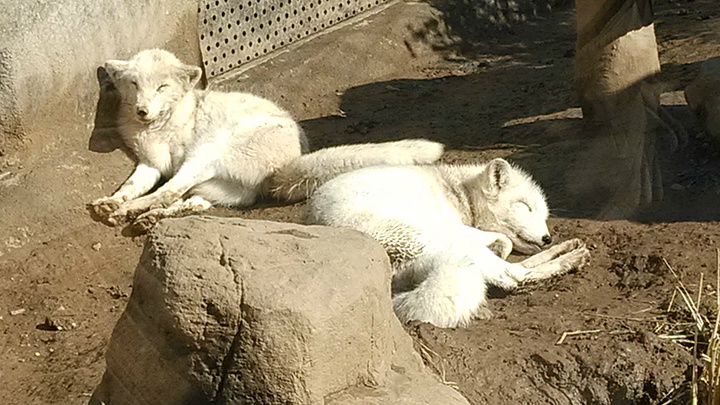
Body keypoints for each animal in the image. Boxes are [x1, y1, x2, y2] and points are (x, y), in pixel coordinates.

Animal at [87, 49, 442, 227]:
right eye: (134, 84)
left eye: (162, 87)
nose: (142, 111)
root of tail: (284, 166)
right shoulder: (151, 164)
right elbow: (130, 186)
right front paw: (113, 201)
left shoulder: (176, 161)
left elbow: (160, 189)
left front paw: (123, 206)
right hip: (215, 184)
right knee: (190, 202)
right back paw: (144, 217)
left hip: (208, 153)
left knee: (173, 194)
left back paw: (138, 214)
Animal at [306, 158, 588, 328]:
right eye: (525, 207)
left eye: (544, 215)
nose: (547, 237)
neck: (456, 191)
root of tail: (389, 258)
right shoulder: (461, 225)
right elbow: (506, 242)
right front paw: (501, 246)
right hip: (448, 239)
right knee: (515, 277)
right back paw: (569, 258)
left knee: (516, 271)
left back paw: (565, 250)